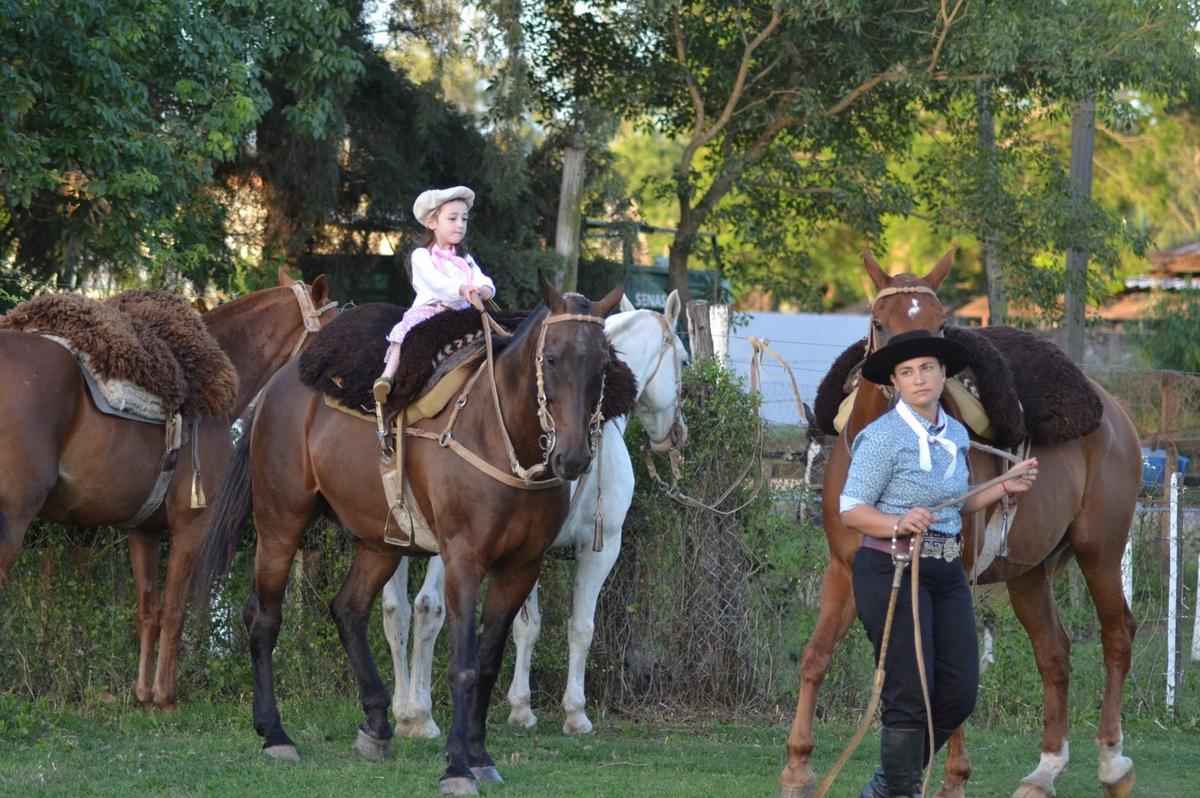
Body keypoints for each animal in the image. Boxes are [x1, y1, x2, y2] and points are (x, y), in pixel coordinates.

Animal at [0, 271, 336, 705]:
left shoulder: (144, 530)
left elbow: (149, 610)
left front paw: (144, 694)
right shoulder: (191, 527)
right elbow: (176, 609)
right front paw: (165, 696)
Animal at [192, 277, 624, 792]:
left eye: (604, 363)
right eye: (552, 358)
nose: (573, 457)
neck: (498, 435)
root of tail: (275, 389)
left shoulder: (521, 567)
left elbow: (489, 663)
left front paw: (479, 755)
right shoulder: (463, 560)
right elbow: (463, 665)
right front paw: (457, 765)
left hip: (378, 542)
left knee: (348, 609)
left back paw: (378, 724)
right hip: (281, 522)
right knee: (263, 617)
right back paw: (275, 734)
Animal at [379, 291, 691, 734]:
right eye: (684, 357)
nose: (676, 434)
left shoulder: (529, 552)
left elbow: (526, 627)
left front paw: (521, 707)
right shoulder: (599, 549)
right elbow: (580, 628)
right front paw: (575, 713)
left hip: (397, 537)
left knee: (397, 611)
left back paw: (404, 710)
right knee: (428, 607)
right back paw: (421, 714)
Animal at [777, 252, 1142, 796]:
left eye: (938, 324)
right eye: (880, 323)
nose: (915, 378)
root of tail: (1115, 413)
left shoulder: (956, 574)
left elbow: (948, 673)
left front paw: (954, 778)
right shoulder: (844, 569)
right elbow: (816, 655)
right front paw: (798, 768)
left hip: (1100, 549)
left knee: (1117, 634)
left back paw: (1112, 761)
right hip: (1029, 573)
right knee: (1054, 652)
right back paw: (1044, 770)